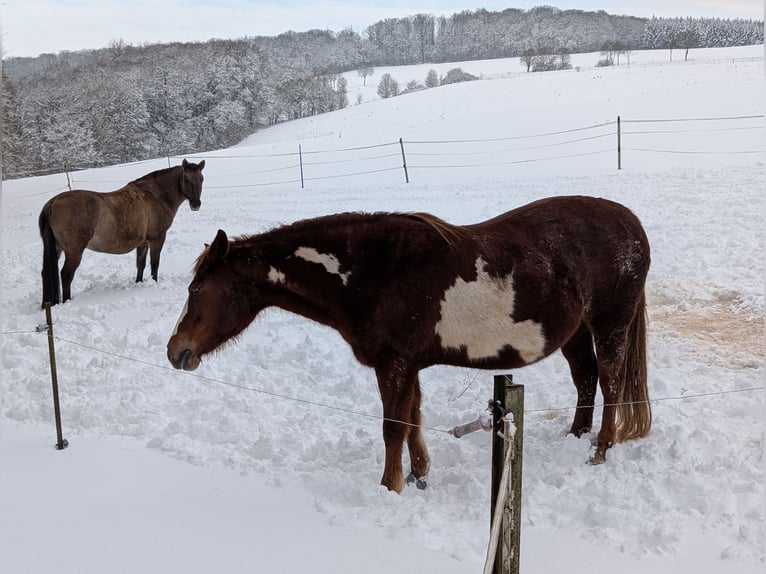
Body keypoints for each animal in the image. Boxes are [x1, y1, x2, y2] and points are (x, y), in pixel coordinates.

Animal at [39, 159, 206, 307]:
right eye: (186, 179)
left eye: (201, 179)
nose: (196, 204)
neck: (155, 196)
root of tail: (52, 203)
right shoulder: (157, 238)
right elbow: (154, 263)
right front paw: (154, 282)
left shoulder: (143, 242)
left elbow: (140, 264)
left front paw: (139, 283)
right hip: (74, 251)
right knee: (66, 275)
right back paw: (67, 301)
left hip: (57, 249)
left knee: (46, 273)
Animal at [166, 195, 652, 493]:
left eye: (196, 290)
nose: (175, 351)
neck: (375, 271)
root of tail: (631, 224)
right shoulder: (410, 364)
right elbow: (414, 416)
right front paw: (419, 474)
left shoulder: (394, 363)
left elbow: (393, 426)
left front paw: (390, 486)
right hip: (577, 332)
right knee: (586, 379)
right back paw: (575, 438)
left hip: (609, 325)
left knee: (610, 383)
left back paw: (600, 450)